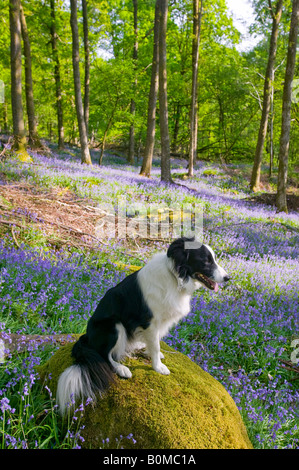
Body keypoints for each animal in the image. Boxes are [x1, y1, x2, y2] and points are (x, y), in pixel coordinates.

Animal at [56, 237, 230, 414]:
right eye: (206, 261)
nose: (227, 278)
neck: (175, 277)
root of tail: (86, 338)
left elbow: (155, 342)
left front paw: (150, 353)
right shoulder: (150, 322)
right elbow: (156, 345)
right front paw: (158, 367)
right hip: (114, 326)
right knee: (105, 355)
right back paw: (121, 368)